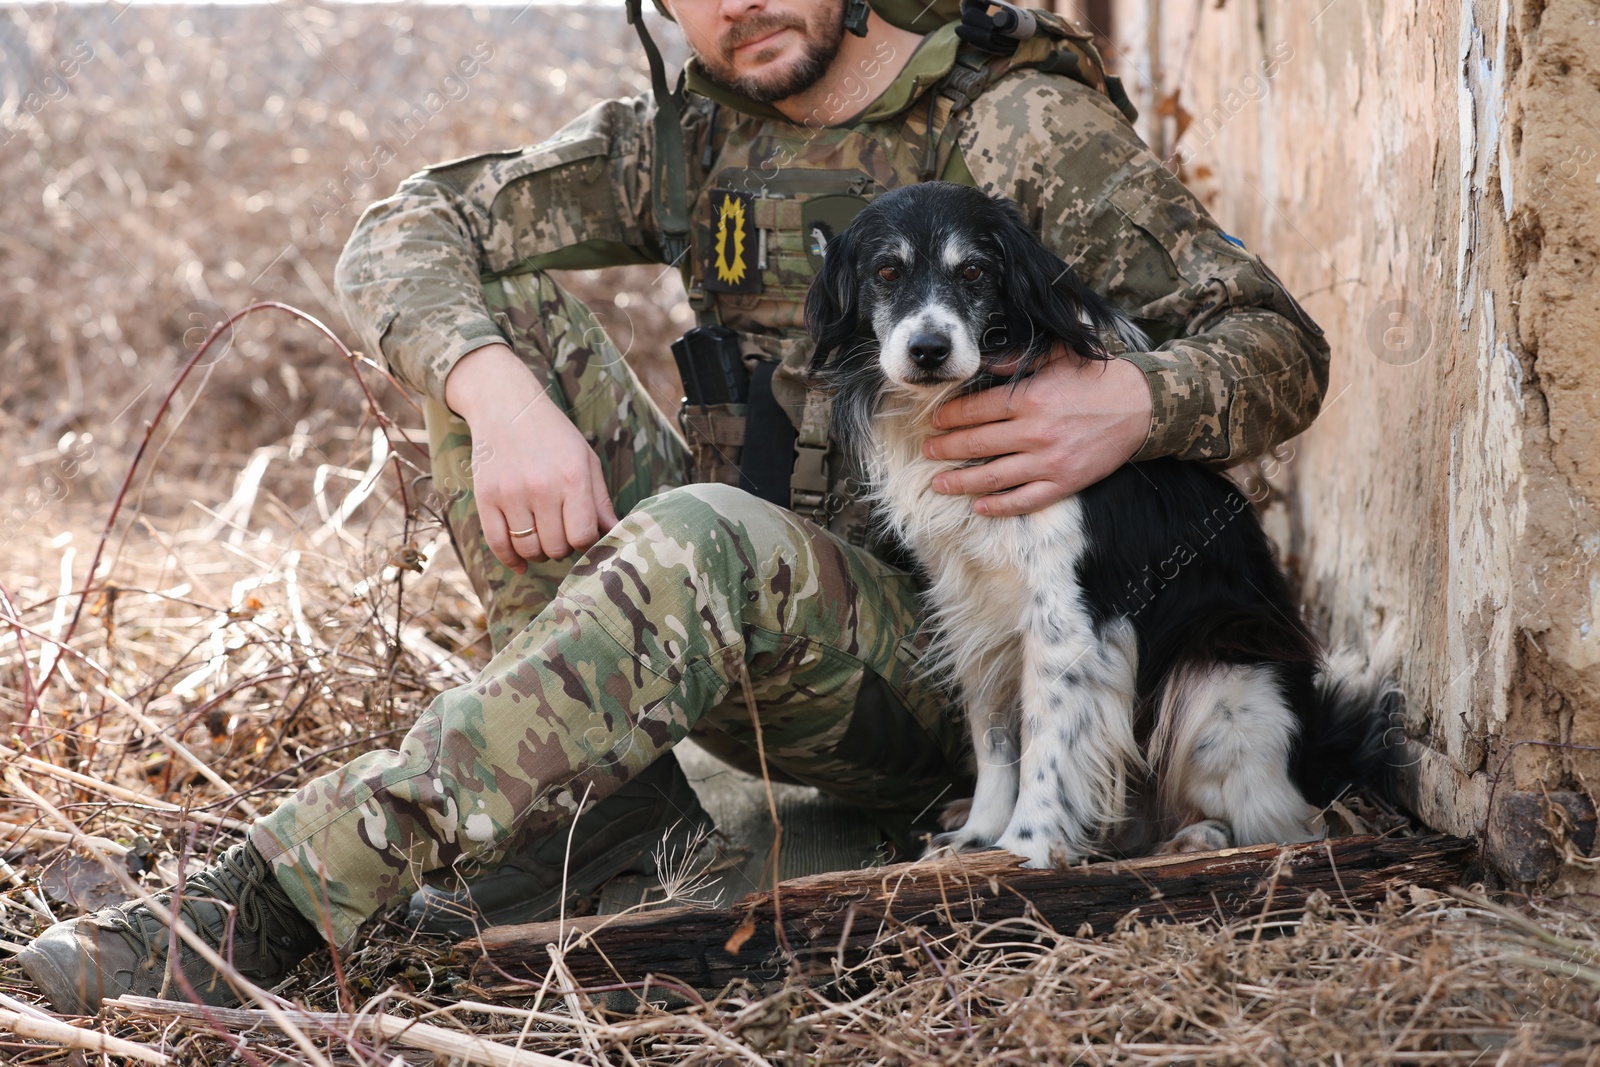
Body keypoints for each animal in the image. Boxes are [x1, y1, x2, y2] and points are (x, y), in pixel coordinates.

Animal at [806, 183, 1395, 870]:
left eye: (974, 272)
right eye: (887, 272)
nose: (928, 350)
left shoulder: (1067, 617)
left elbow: (1047, 745)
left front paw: (1025, 850)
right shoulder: (972, 607)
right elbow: (995, 738)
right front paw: (979, 836)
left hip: (1224, 684)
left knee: (1284, 820)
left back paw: (1199, 837)